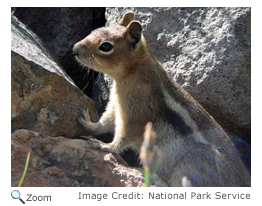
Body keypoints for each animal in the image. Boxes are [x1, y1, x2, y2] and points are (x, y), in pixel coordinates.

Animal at [72, 11, 251, 187]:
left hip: (190, 167)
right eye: (94, 30)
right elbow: (105, 122)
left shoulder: (136, 112)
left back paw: (156, 179)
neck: (134, 71)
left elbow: (124, 135)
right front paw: (88, 123)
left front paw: (105, 145)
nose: (74, 49)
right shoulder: (117, 104)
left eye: (105, 46)